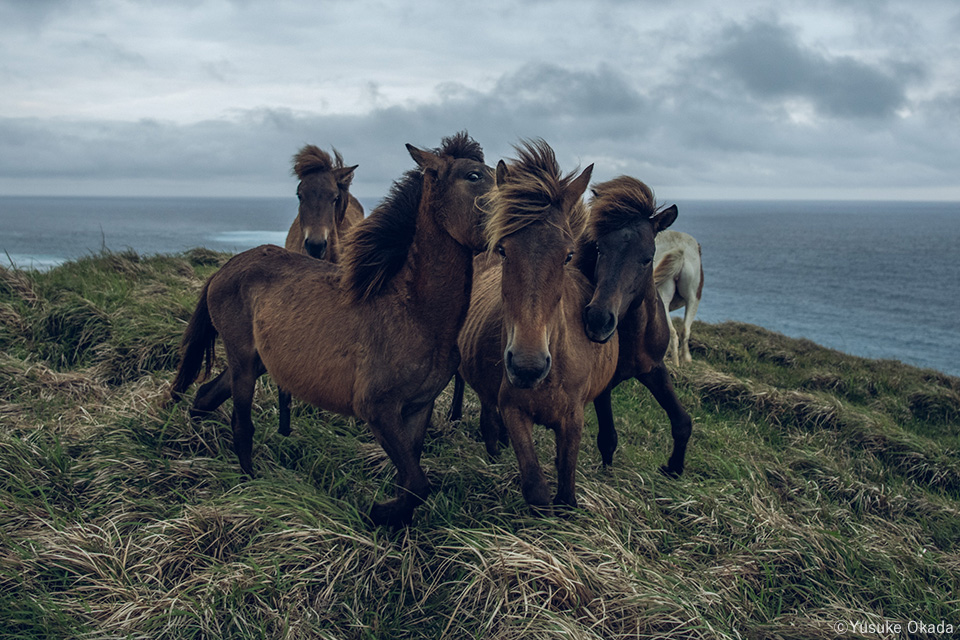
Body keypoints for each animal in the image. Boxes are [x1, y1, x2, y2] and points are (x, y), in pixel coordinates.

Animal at [454, 140, 612, 510]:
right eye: (503, 250)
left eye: (568, 256)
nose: (528, 366)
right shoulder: (513, 408)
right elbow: (537, 490)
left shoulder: (573, 419)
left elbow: (566, 491)